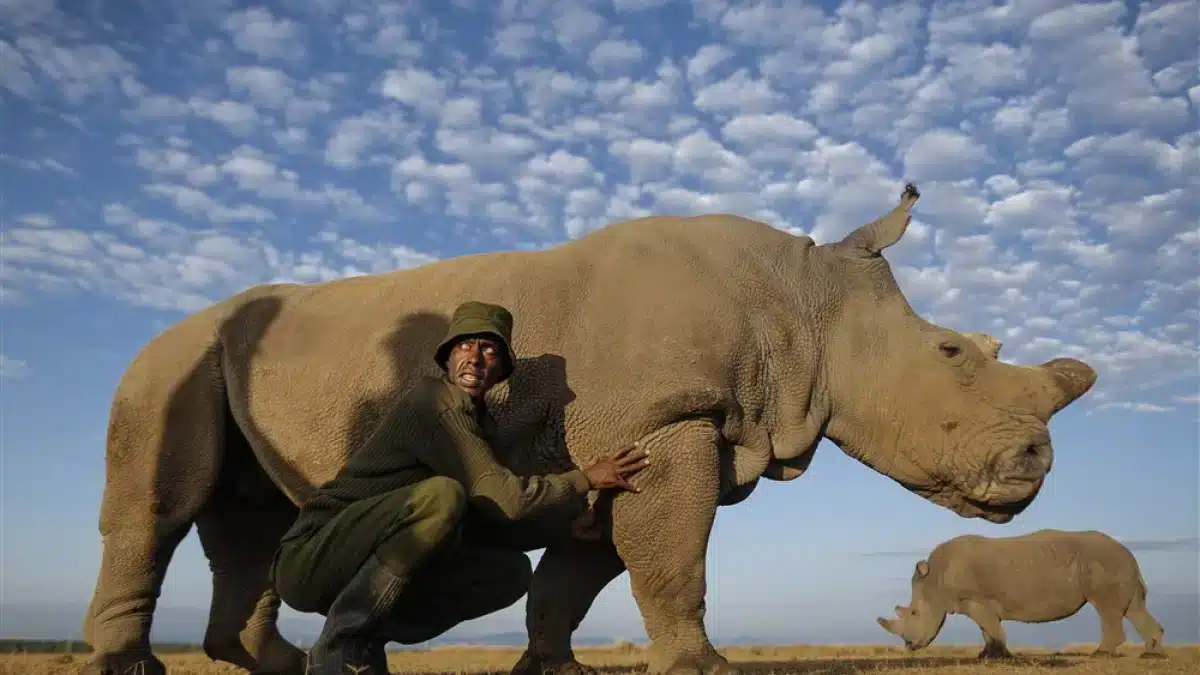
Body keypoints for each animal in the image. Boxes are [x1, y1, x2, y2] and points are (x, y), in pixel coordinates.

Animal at [80, 184, 1098, 675]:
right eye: (952, 352)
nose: (1039, 461)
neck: (807, 301)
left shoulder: (644, 436)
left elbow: (580, 571)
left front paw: (552, 666)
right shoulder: (671, 422)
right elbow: (673, 558)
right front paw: (706, 668)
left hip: (229, 363)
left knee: (247, 526)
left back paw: (284, 663)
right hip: (169, 359)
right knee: (159, 509)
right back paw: (135, 666)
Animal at [876, 529, 1167, 659]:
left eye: (914, 613)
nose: (909, 646)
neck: (935, 581)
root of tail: (1129, 554)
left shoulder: (975, 600)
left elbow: (992, 628)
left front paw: (999, 656)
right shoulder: (979, 603)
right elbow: (987, 629)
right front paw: (987, 656)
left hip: (1105, 563)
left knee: (1107, 609)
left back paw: (1100, 654)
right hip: (1118, 565)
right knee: (1133, 608)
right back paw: (1151, 654)